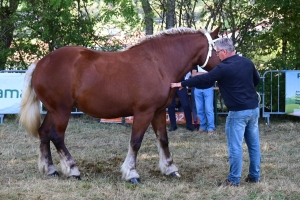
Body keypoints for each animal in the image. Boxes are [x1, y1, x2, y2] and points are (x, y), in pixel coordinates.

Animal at [18, 26, 220, 183]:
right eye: (219, 48)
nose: (223, 65)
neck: (158, 63)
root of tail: (41, 63)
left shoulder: (159, 112)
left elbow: (163, 140)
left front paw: (170, 169)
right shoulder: (144, 113)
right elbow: (136, 142)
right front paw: (131, 173)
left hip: (53, 110)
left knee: (44, 133)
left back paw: (50, 169)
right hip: (62, 111)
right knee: (57, 136)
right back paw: (73, 169)